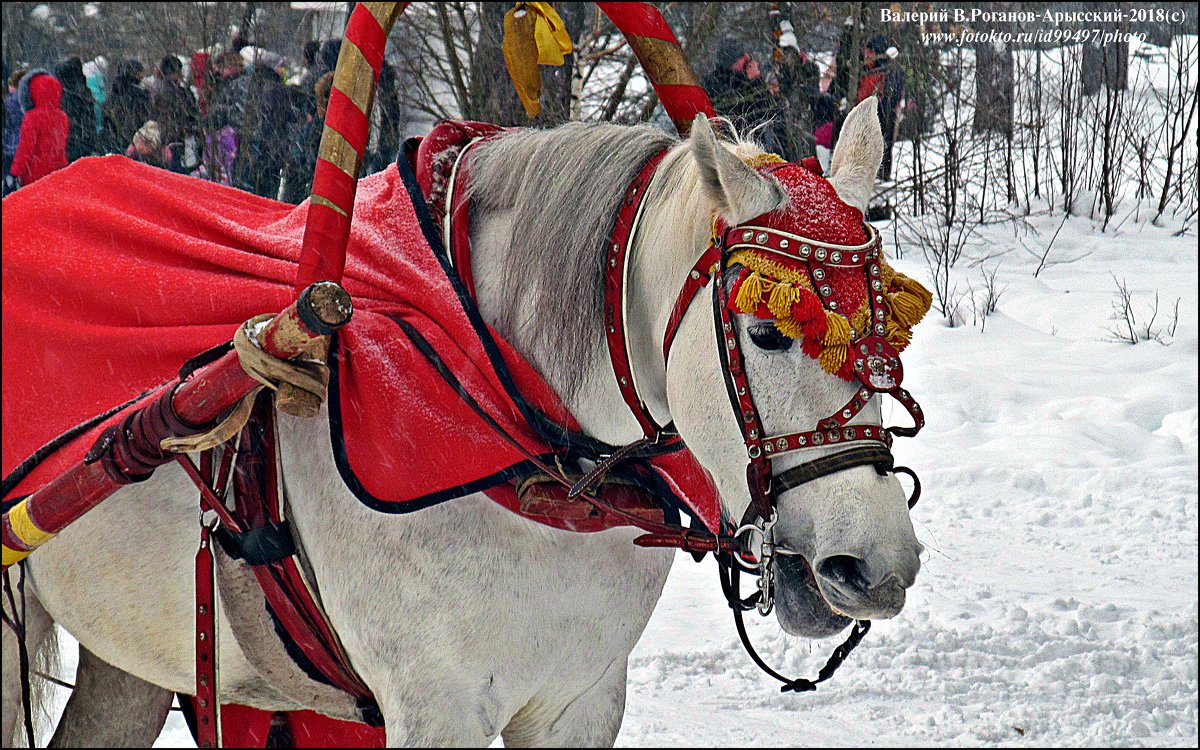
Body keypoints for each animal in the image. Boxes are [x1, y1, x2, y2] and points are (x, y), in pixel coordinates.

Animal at [2, 97, 916, 744]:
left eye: (888, 334)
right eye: (768, 331)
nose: (876, 565)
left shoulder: (581, 702)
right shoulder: (436, 709)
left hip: (130, 647)